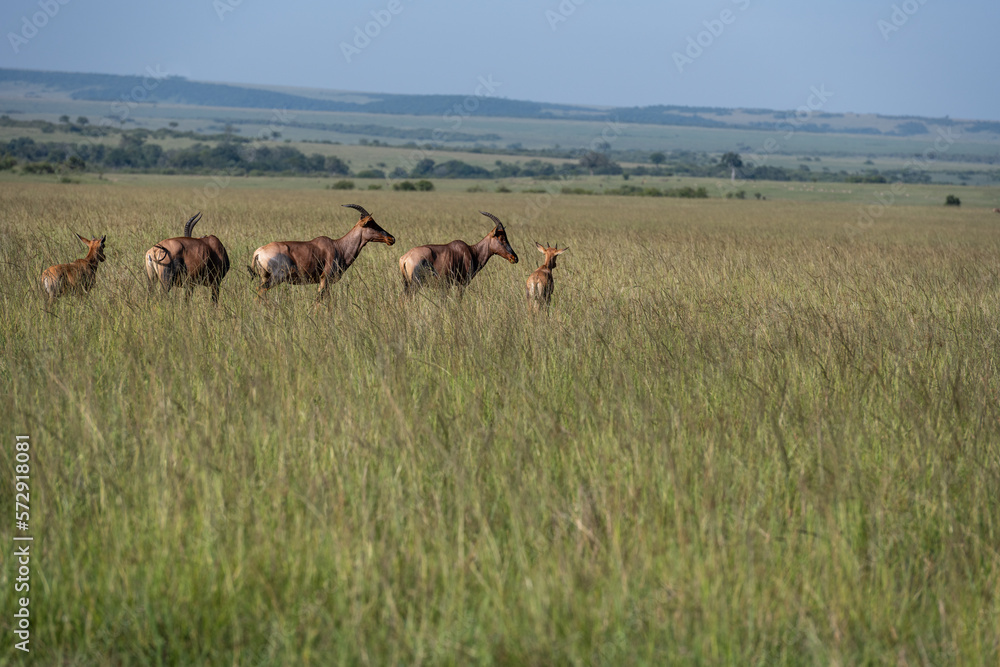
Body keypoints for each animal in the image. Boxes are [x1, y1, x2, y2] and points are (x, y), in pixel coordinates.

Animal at [249, 204, 395, 302]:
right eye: (371, 223)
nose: (391, 238)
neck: (338, 246)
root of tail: (259, 251)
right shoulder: (325, 278)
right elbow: (319, 299)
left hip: (265, 276)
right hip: (276, 277)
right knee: (260, 290)